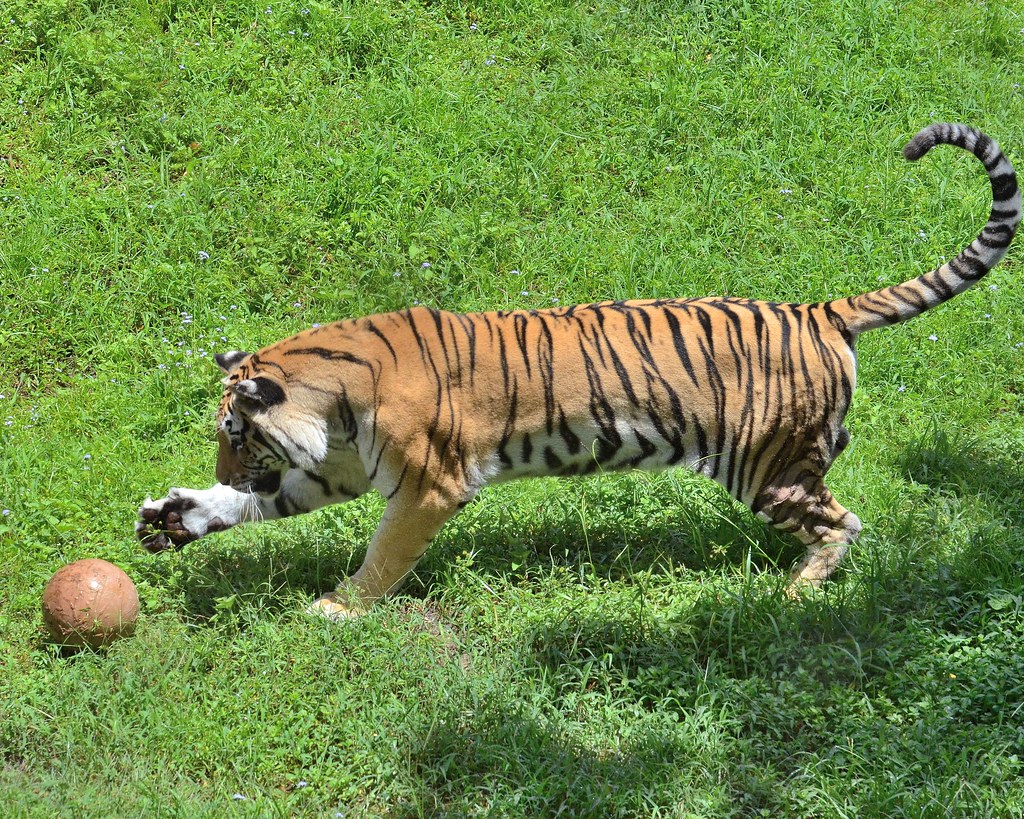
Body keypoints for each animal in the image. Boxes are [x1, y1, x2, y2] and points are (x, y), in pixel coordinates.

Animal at [137, 123, 1020, 619]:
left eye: (236, 434)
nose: (227, 469)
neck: (336, 403)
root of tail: (820, 311)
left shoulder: (427, 486)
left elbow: (383, 554)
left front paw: (339, 608)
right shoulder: (342, 468)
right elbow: (270, 504)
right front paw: (179, 513)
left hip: (770, 466)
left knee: (846, 523)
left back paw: (796, 596)